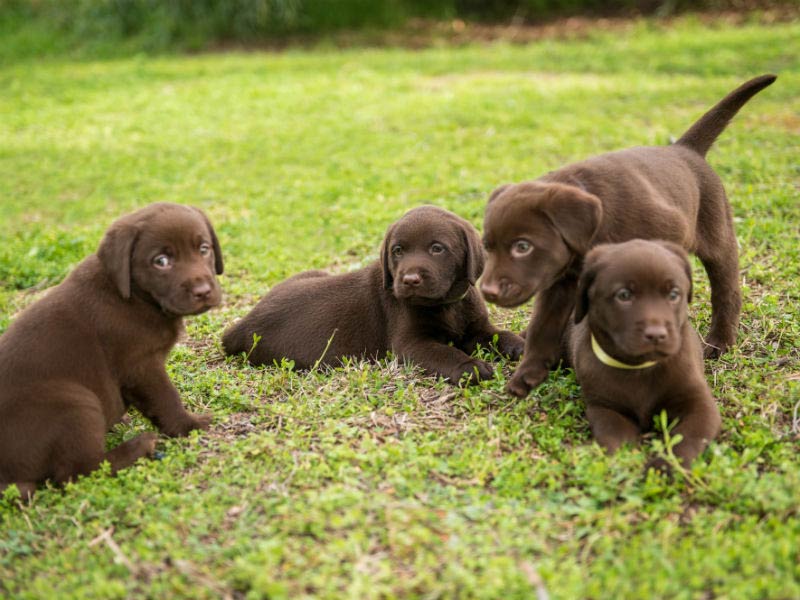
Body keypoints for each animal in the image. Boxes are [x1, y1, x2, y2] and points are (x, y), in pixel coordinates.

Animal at [0, 204, 222, 500]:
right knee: (77, 472)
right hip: (75, 403)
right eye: (161, 261)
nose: (203, 291)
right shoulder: (142, 366)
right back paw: (139, 446)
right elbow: (167, 399)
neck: (135, 297)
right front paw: (190, 425)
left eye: (204, 249)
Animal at [223, 206, 524, 382]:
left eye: (437, 249)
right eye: (397, 250)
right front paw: (470, 366)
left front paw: (520, 345)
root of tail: (241, 325)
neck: (447, 304)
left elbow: (499, 335)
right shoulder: (411, 345)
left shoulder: (476, 328)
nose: (409, 280)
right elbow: (444, 353)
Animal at [482, 72, 776, 396]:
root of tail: (684, 149)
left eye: (522, 247)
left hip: (717, 234)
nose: (487, 291)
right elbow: (542, 328)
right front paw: (526, 375)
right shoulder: (560, 284)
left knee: (726, 290)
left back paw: (719, 341)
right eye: (487, 247)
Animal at [564, 239, 720, 468]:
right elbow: (615, 438)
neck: (640, 368)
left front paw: (665, 467)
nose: (656, 335)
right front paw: (628, 463)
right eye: (624, 295)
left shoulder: (699, 403)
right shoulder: (604, 407)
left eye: (673, 294)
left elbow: (687, 437)